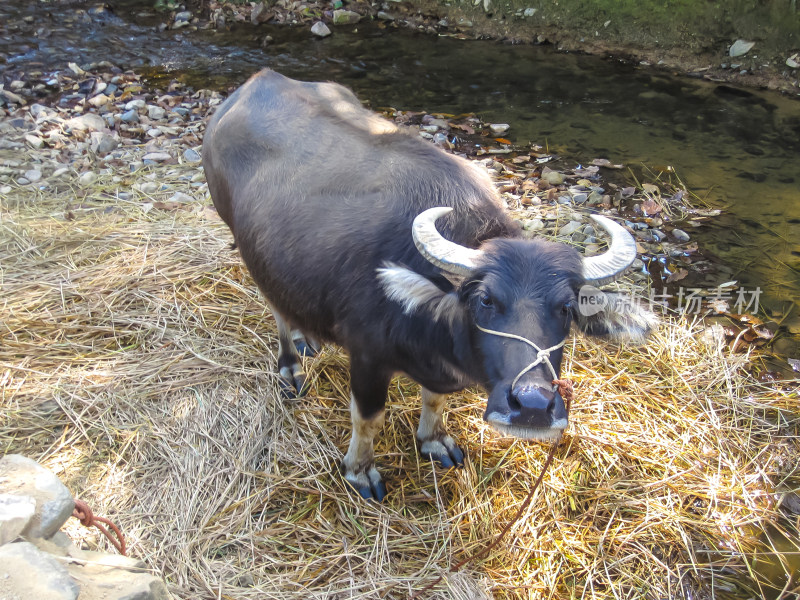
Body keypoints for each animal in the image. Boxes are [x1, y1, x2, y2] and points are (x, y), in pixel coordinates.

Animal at [202, 69, 656, 502]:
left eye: (566, 308)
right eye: (485, 300)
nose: (532, 406)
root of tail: (256, 81)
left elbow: (435, 399)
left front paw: (434, 440)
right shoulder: (366, 356)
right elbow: (368, 418)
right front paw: (359, 470)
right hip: (250, 247)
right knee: (277, 309)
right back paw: (291, 366)